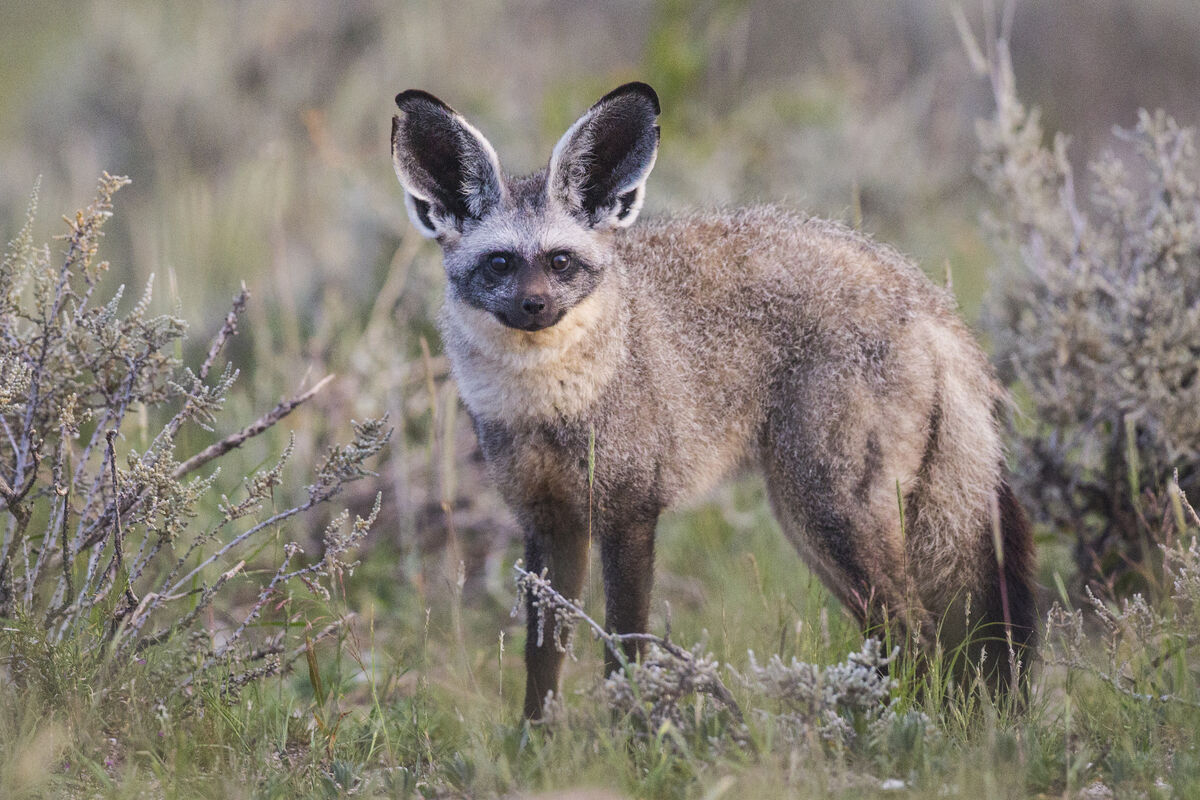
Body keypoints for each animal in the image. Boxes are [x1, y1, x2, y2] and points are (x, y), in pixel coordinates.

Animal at [388, 81, 1036, 719]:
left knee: (916, 634)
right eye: (499, 263)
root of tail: (923, 294)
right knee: (900, 639)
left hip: (828, 513)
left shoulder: (630, 514)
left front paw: (631, 736)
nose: (534, 306)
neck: (549, 407)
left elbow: (624, 652)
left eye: (560, 262)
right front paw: (536, 743)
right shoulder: (549, 523)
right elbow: (542, 666)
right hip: (816, 527)